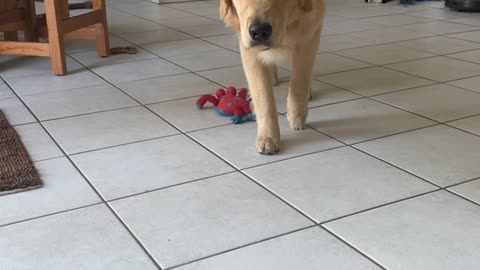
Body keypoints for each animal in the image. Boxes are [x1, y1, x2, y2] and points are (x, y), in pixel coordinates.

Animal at [218, 0, 324, 155]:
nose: (259, 31)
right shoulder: (248, 46)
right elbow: (263, 97)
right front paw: (268, 137)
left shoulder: (309, 34)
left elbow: (300, 80)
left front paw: (296, 115)